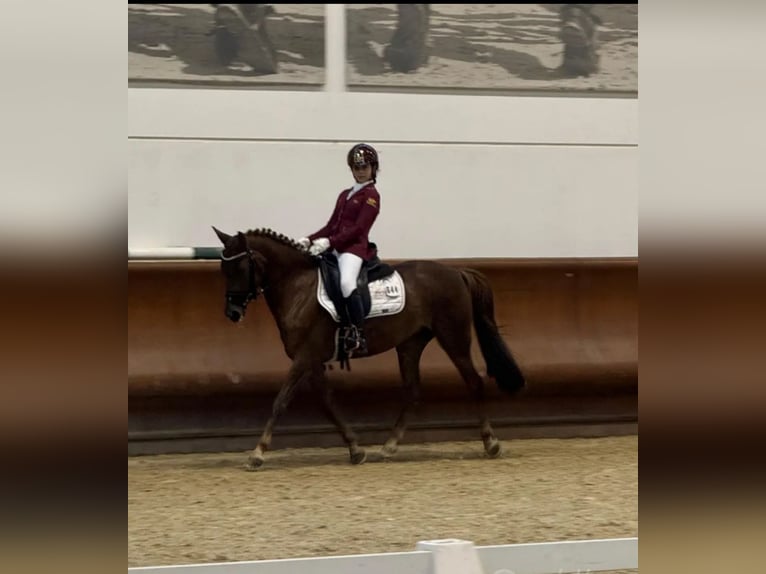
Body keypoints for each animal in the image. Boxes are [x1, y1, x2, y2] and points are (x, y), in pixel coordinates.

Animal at [216, 227, 528, 470]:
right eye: (223, 269)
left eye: (240, 268)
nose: (232, 313)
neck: (298, 287)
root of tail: (456, 272)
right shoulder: (312, 360)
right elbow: (328, 403)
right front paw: (356, 449)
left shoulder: (305, 357)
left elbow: (280, 401)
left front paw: (257, 453)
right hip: (410, 344)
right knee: (413, 391)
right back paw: (389, 447)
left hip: (453, 337)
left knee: (474, 382)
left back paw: (491, 443)